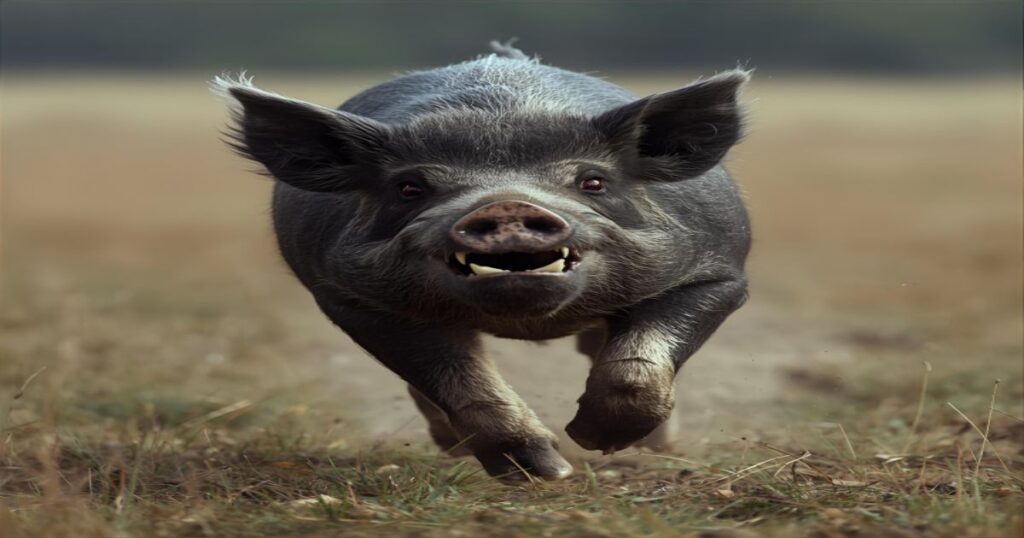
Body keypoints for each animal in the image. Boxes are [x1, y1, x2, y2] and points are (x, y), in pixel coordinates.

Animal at [215, 42, 751, 481]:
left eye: (593, 182)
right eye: (409, 187)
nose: (507, 206)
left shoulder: (719, 274)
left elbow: (638, 362)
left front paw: (593, 442)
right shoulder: (349, 297)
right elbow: (456, 379)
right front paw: (549, 471)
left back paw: (653, 450)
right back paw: (453, 449)